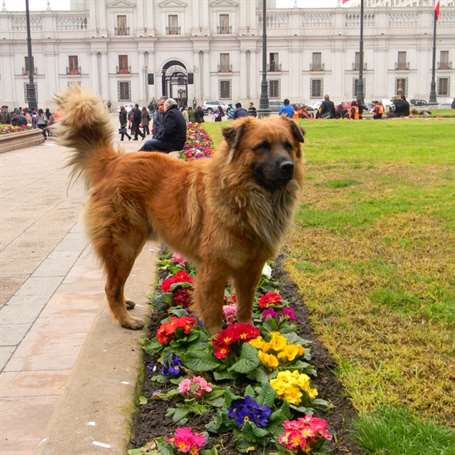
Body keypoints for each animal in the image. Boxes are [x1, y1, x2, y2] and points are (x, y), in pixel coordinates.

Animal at [58, 86, 306, 334]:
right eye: (262, 146)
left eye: (288, 146)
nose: (288, 167)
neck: (245, 195)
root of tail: (113, 162)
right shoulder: (214, 270)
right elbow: (213, 312)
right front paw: (219, 340)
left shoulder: (251, 269)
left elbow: (245, 307)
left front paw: (248, 334)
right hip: (124, 247)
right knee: (111, 287)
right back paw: (125, 320)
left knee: (115, 286)